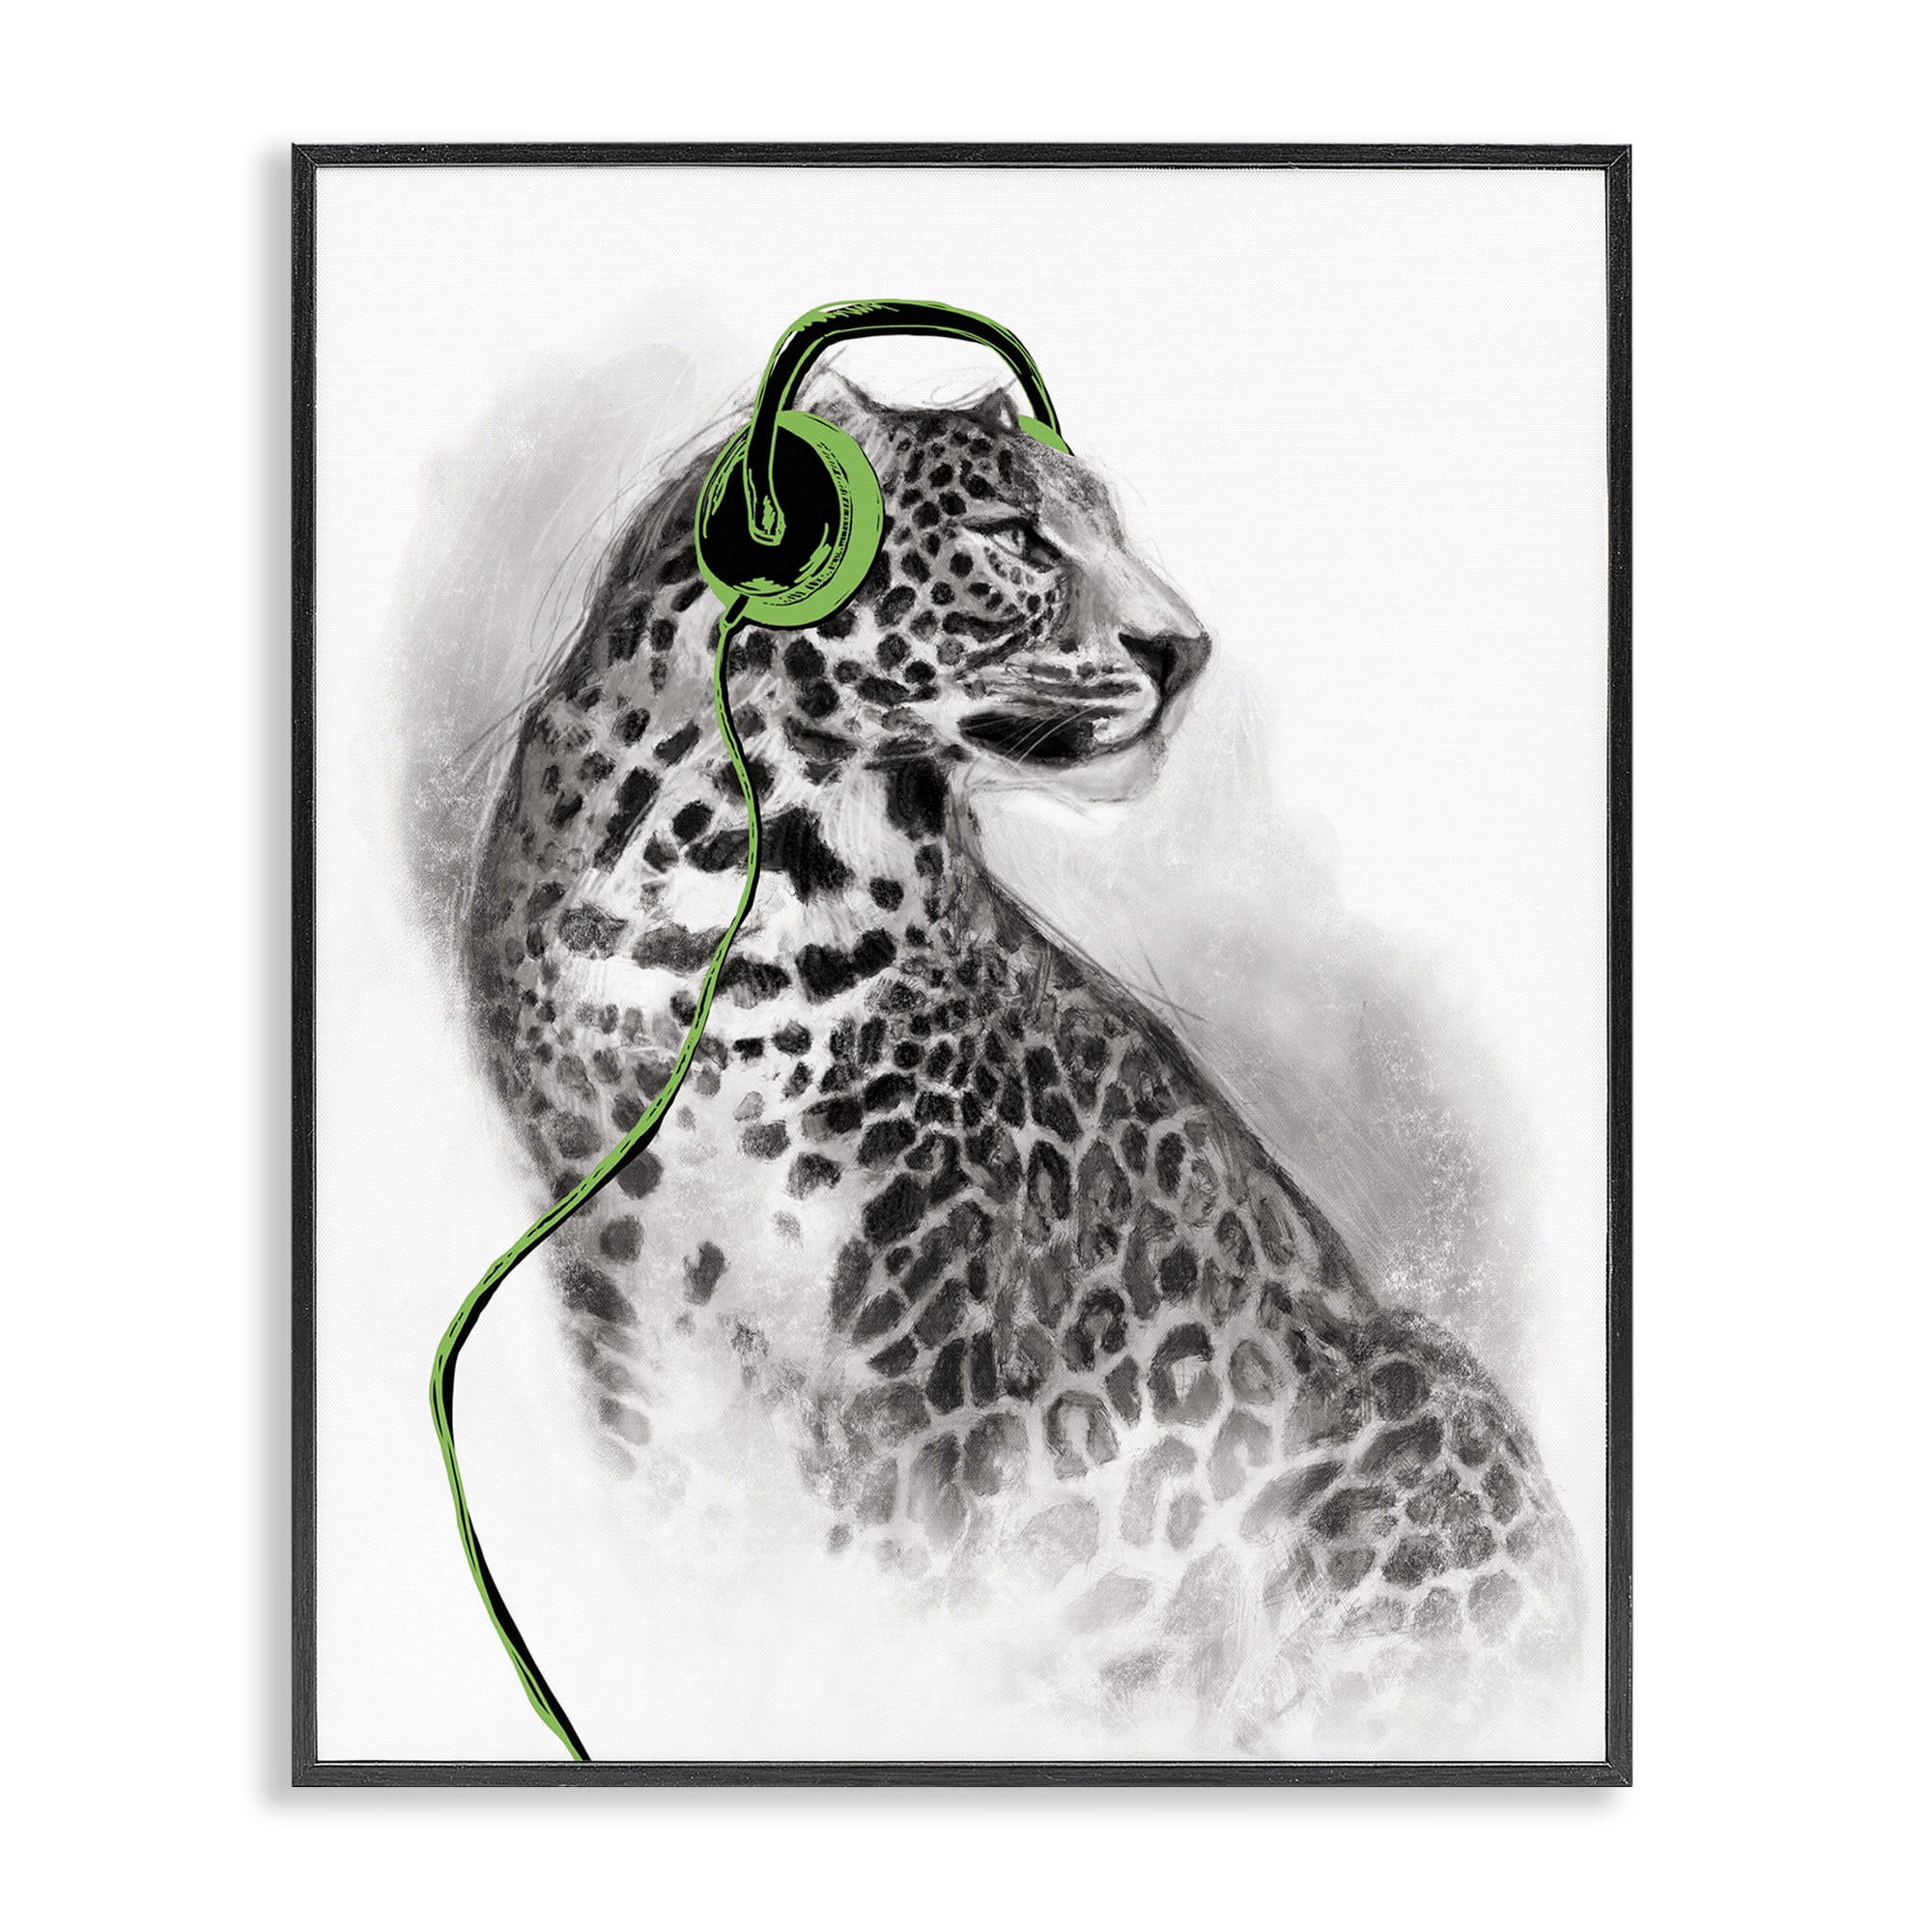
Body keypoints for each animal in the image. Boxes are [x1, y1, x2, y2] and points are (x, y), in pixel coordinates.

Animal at [458, 366, 1585, 1752]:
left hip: (1416, 1411)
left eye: (1107, 526)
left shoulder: (921, 1321)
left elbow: (888, 1587)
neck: (732, 867)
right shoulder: (610, 1284)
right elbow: (683, 1528)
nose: (1184, 650)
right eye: (1015, 534)